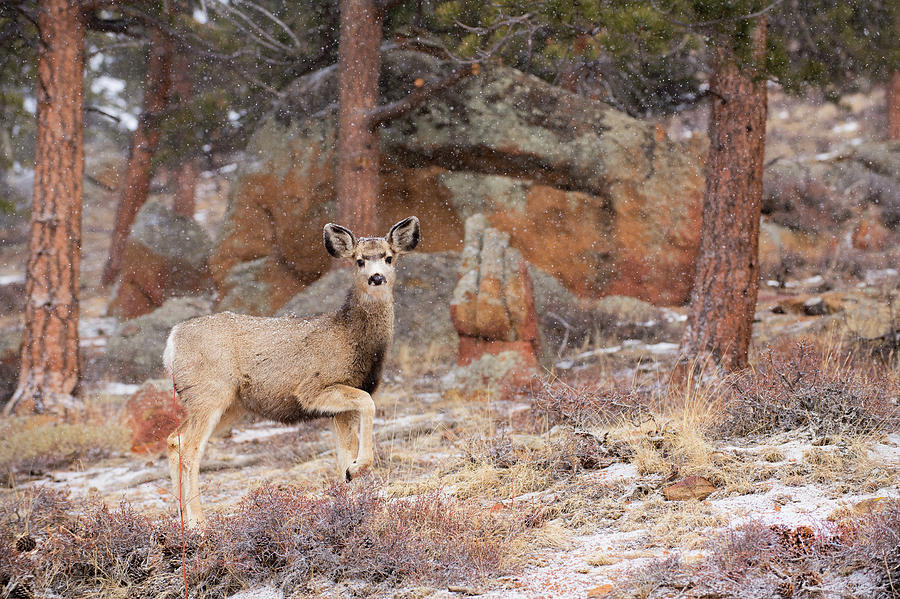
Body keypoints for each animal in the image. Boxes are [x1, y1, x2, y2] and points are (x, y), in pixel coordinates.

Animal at [163, 216, 422, 524]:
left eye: (389, 257)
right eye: (359, 260)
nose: (377, 277)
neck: (350, 337)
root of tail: (172, 342)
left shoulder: (340, 411)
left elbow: (343, 454)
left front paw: (352, 498)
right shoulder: (313, 389)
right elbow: (367, 404)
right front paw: (357, 470)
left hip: (230, 406)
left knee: (173, 441)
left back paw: (183, 520)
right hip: (209, 393)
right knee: (190, 448)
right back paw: (199, 525)